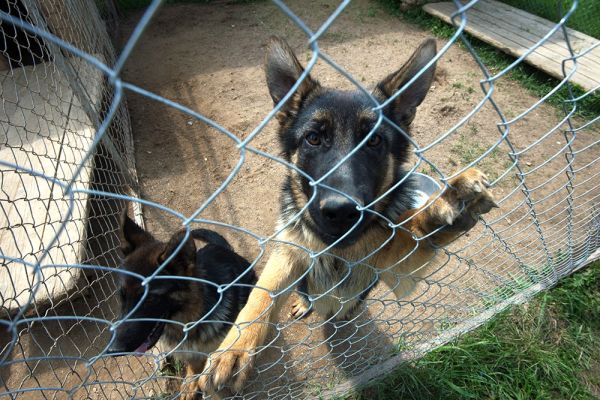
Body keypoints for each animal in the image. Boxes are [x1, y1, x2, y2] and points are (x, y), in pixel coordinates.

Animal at [108, 212, 258, 396]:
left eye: (149, 299)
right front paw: (190, 384)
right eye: (122, 296)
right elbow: (194, 368)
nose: (113, 350)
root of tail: (224, 249)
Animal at [200, 38, 496, 394]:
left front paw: (448, 202)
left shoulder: (398, 266)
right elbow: (261, 296)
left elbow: (414, 229)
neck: (336, 249)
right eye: (313, 138)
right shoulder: (290, 250)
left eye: (375, 141)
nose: (341, 211)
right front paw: (234, 348)